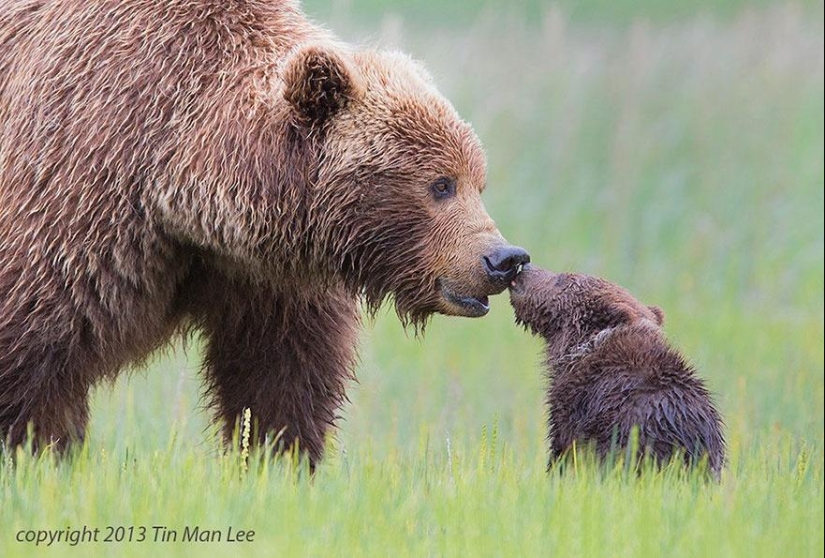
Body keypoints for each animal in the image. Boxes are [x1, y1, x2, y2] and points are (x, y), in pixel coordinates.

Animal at [0, 0, 528, 466]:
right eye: (441, 184)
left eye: (477, 181)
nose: (504, 258)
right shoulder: (79, 195)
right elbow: (34, 352)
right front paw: (37, 453)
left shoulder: (268, 276)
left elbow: (281, 375)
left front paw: (277, 460)